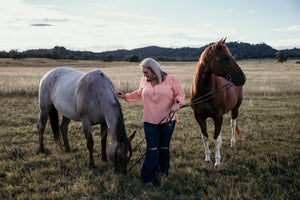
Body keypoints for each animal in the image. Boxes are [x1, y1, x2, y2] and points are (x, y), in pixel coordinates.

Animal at [192, 38, 246, 167]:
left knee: (233, 124)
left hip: (235, 109)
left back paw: (232, 143)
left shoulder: (217, 116)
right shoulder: (199, 117)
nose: (243, 78)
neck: (204, 92)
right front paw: (207, 157)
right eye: (225, 57)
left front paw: (217, 161)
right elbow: (205, 137)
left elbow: (215, 138)